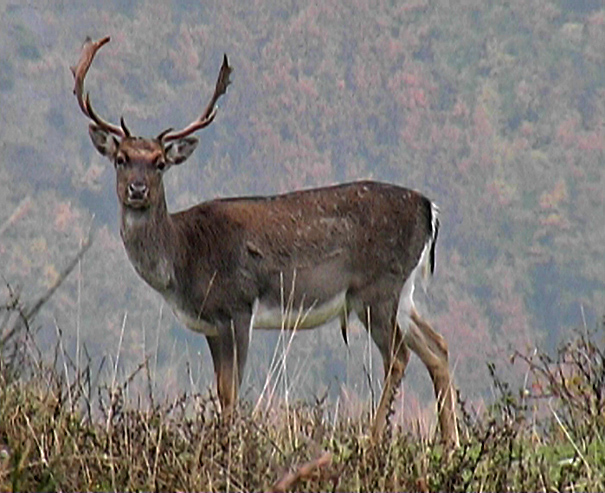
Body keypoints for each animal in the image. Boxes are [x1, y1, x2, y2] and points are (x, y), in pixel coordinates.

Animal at [71, 36, 458, 448]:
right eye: (121, 158)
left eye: (160, 163)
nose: (137, 189)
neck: (181, 260)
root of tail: (429, 208)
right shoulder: (211, 325)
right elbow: (222, 391)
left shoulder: (238, 305)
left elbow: (231, 390)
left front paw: (230, 443)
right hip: (404, 292)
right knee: (438, 347)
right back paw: (451, 443)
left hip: (376, 289)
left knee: (399, 356)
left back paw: (372, 440)